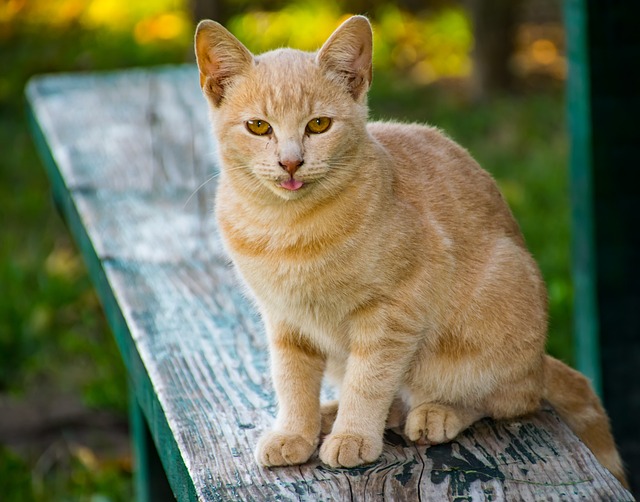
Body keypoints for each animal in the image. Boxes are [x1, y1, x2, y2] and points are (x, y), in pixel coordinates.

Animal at [192, 14, 628, 486]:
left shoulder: (392, 315)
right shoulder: (285, 319)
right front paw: (296, 432)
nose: (291, 162)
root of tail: (540, 362)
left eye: (318, 125)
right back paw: (331, 413)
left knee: (507, 398)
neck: (286, 228)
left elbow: (370, 381)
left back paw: (436, 413)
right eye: (259, 127)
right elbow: (292, 381)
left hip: (496, 311)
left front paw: (353, 436)